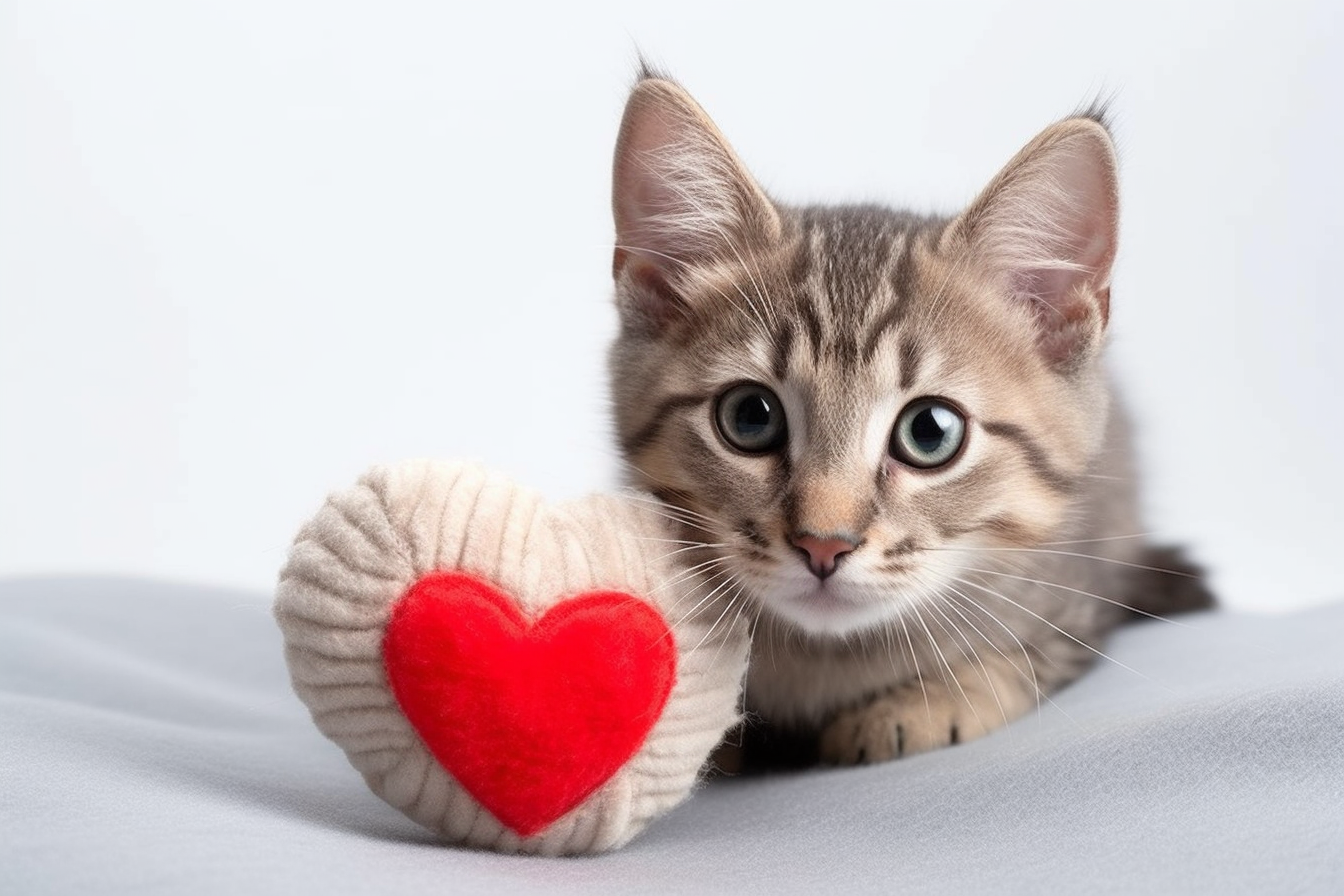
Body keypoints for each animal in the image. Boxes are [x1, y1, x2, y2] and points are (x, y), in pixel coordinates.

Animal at [604, 73, 1214, 768]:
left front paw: (924, 704)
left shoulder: (1075, 599)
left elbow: (1018, 660)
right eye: (749, 417)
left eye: (930, 432)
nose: (824, 544)